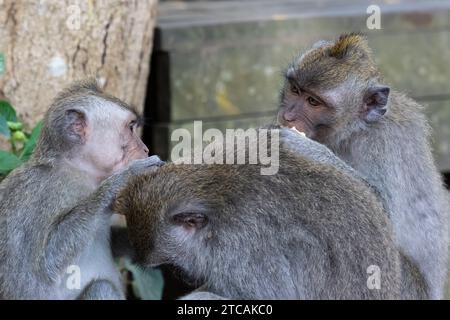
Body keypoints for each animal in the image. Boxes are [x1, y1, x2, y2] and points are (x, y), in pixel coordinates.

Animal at [0, 80, 163, 300]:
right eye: (130, 128)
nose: (145, 149)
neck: (79, 171)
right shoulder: (44, 196)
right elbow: (45, 265)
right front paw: (124, 179)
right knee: (101, 287)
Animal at [278, 31, 450, 298]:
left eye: (313, 101)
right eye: (295, 90)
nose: (287, 117)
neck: (353, 130)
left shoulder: (381, 141)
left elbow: (381, 212)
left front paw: (301, 145)